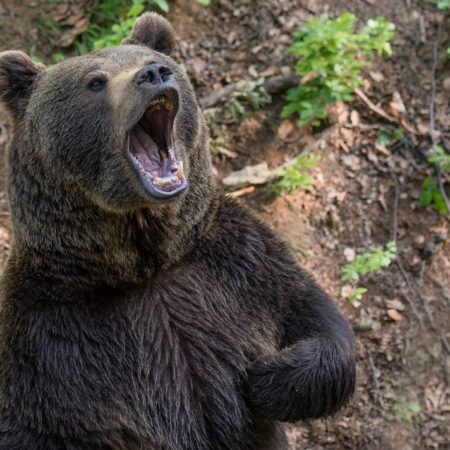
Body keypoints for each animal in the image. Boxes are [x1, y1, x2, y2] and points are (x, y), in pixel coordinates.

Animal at [0, 12, 356, 448]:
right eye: (95, 81)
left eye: (149, 59)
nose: (154, 73)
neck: (146, 263)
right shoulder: (50, 338)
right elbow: (37, 422)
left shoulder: (239, 265)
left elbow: (314, 317)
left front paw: (263, 379)